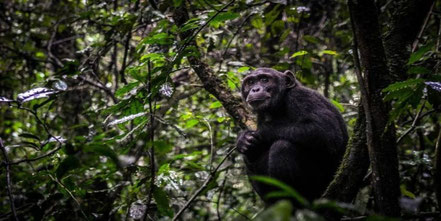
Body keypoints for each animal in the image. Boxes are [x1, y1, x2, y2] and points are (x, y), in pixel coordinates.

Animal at [237, 68, 348, 205]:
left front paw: (260, 133)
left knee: (283, 147)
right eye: (250, 82)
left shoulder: (301, 98)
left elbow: (326, 132)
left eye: (264, 79)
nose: (255, 89)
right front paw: (244, 140)